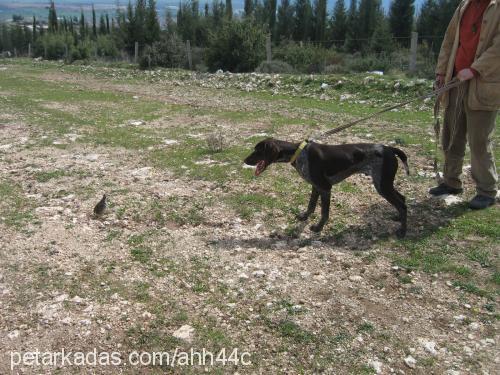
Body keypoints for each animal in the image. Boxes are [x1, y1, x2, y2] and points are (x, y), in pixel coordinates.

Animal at [243, 138, 410, 238]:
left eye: (258, 151)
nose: (244, 160)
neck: (298, 153)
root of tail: (390, 149)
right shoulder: (316, 186)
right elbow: (311, 205)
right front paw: (305, 216)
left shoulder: (325, 187)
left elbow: (324, 212)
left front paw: (318, 227)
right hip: (385, 184)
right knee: (402, 199)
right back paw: (398, 218)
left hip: (382, 185)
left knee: (402, 204)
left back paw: (402, 231)